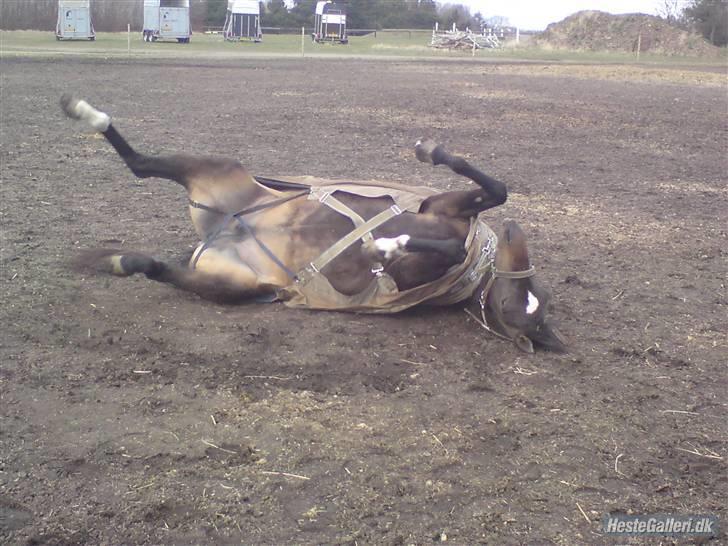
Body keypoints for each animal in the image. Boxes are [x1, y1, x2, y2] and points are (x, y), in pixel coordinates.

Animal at [59, 94, 564, 352]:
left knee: (150, 253)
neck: (477, 271)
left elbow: (443, 246)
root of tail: (218, 233)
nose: (514, 234)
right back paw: (83, 110)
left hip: (230, 285)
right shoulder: (442, 207)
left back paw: (117, 261)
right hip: (218, 168)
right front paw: (430, 152)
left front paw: (383, 246)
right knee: (141, 164)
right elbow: (495, 188)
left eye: (515, 304)